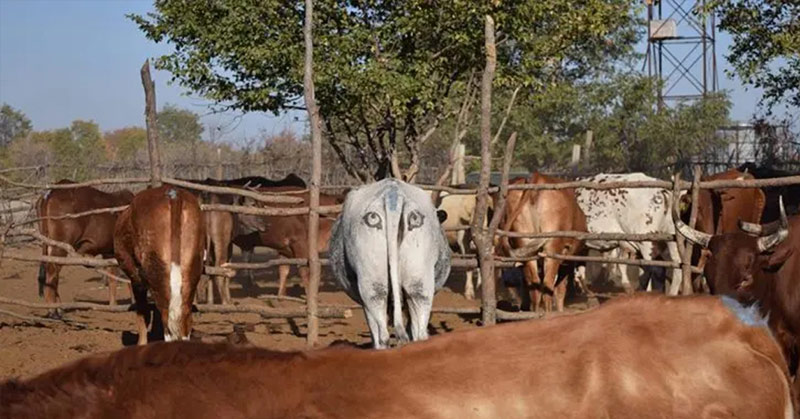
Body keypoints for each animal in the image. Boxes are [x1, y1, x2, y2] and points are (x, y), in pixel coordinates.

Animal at [35, 180, 134, 313]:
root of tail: (51, 192)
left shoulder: (109, 253)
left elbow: (112, 277)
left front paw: (113, 304)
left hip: (49, 244)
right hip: (60, 246)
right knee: (52, 271)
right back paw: (54, 309)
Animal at [113, 186, 205, 344]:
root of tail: (174, 195)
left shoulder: (137, 280)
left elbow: (142, 314)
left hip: (157, 272)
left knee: (167, 322)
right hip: (191, 271)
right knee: (185, 320)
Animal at [499, 173, 585, 313]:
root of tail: (537, 177)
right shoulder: (567, 261)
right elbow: (560, 289)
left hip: (525, 245)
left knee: (534, 285)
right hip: (552, 249)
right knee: (547, 285)